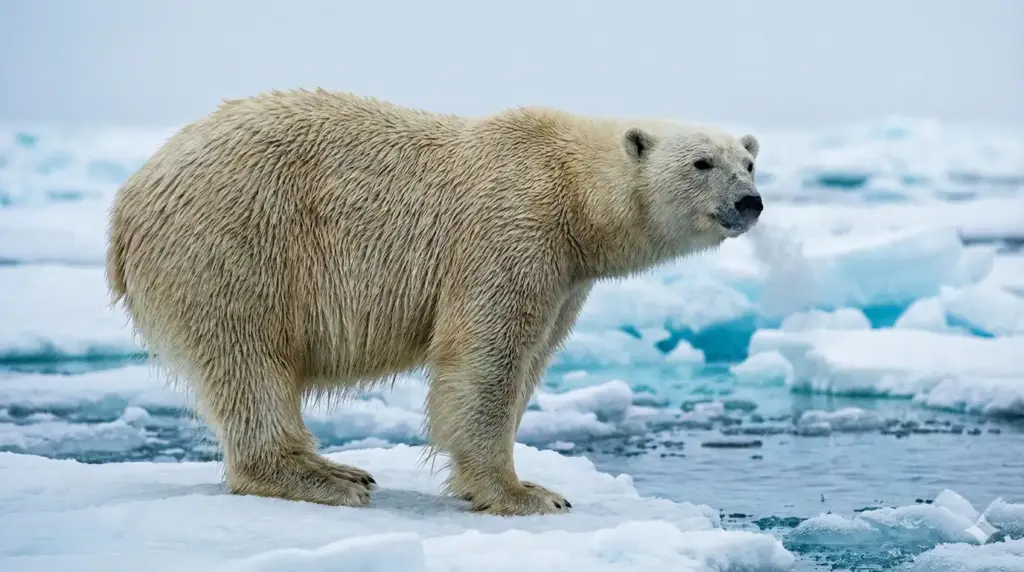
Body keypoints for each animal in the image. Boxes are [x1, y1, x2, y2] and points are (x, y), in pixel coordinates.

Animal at [105, 88, 763, 516]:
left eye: (750, 161)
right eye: (703, 162)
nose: (750, 202)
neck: (573, 192)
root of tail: (130, 197)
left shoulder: (566, 275)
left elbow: (531, 357)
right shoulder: (512, 228)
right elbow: (484, 358)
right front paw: (525, 494)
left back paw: (338, 468)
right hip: (235, 242)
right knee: (248, 356)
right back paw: (322, 477)